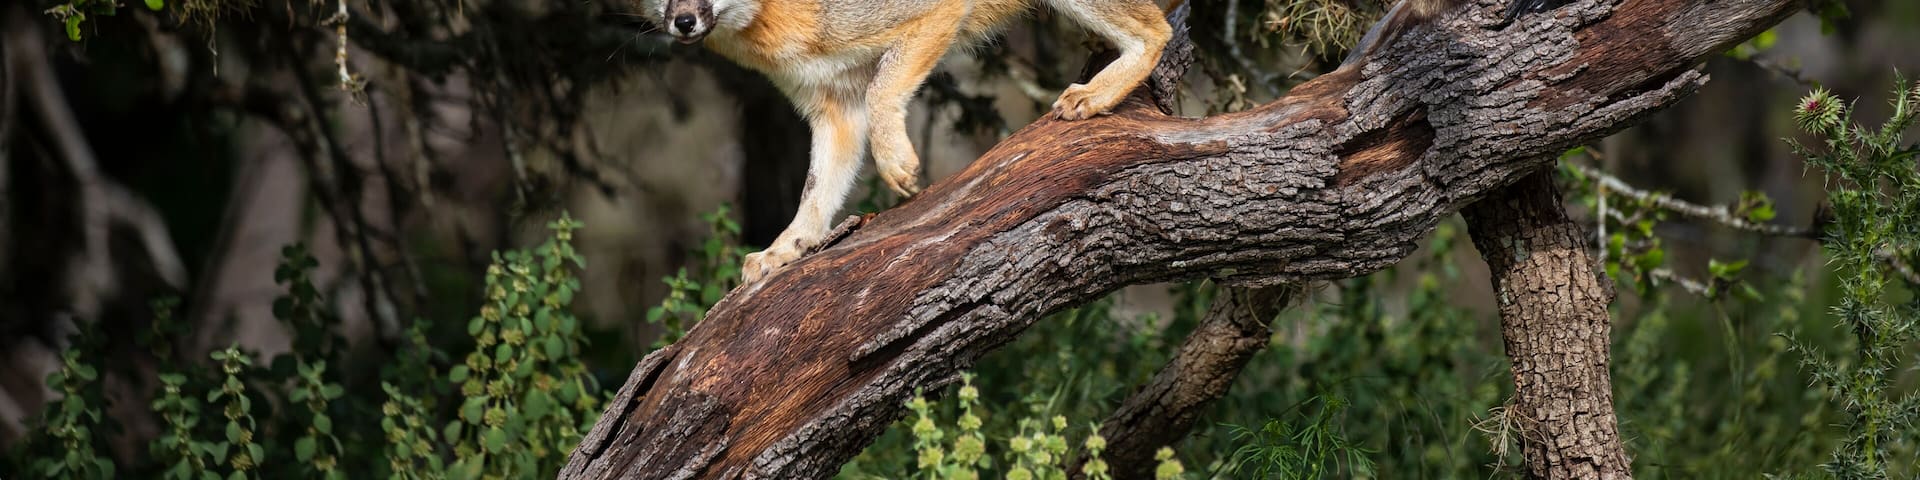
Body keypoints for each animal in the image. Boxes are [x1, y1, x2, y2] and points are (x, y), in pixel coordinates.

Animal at [638, 0, 1175, 283]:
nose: (682, 22)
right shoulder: (832, 107)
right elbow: (816, 192)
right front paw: (788, 246)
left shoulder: (929, 14)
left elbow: (882, 92)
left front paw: (896, 160)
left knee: (1157, 30)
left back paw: (1097, 91)